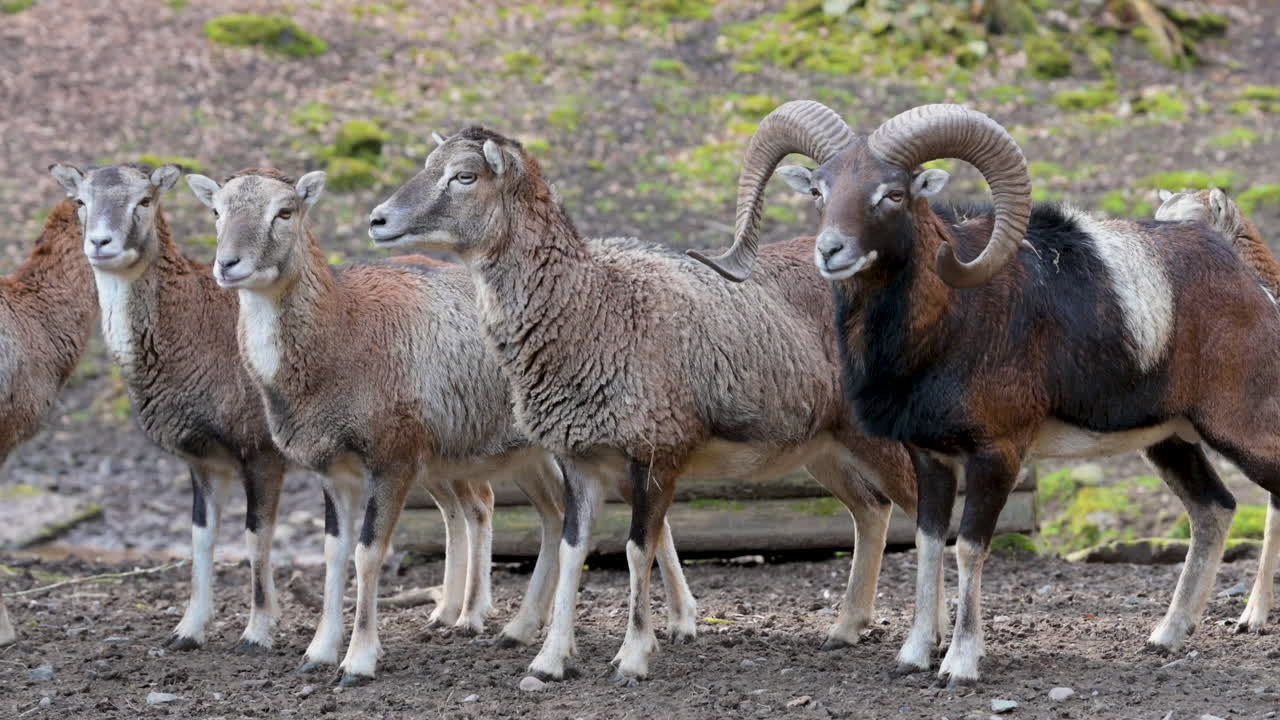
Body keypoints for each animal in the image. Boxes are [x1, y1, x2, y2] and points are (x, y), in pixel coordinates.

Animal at [48, 162, 291, 652]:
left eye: (144, 200)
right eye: (80, 200)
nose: (100, 242)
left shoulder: (261, 452)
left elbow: (257, 537)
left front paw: (258, 633)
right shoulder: (203, 461)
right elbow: (201, 537)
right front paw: (187, 631)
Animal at [185, 167, 669, 684]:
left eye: (285, 211)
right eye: (216, 212)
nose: (228, 264)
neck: (343, 334)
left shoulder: (392, 458)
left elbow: (368, 552)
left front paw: (359, 660)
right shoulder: (332, 471)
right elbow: (335, 553)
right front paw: (318, 651)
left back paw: (672, 629)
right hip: (529, 454)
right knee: (557, 515)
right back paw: (520, 629)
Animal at [366, 127, 917, 684]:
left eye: (464, 176)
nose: (379, 220)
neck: (599, 310)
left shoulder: (656, 458)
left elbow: (637, 550)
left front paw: (632, 658)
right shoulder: (581, 462)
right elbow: (573, 550)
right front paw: (549, 662)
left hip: (880, 443)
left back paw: (928, 649)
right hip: (827, 451)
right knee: (872, 511)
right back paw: (844, 631)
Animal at [688, 100, 1280, 685]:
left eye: (893, 194)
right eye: (818, 189)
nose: (831, 251)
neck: (947, 326)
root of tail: (1255, 289)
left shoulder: (997, 455)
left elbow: (969, 549)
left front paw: (960, 664)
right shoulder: (930, 458)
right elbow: (928, 544)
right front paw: (913, 656)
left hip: (1241, 432)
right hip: (1171, 441)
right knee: (1214, 510)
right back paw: (1167, 636)